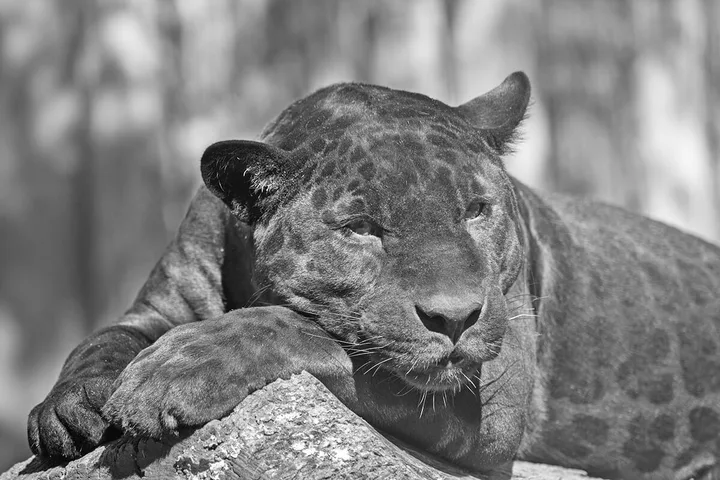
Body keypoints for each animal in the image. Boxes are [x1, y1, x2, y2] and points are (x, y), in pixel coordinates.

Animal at [27, 72, 720, 480]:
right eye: (362, 228)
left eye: (476, 210)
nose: (456, 317)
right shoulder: (161, 306)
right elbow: (101, 338)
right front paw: (67, 411)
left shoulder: (490, 396)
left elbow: (310, 332)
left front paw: (176, 371)